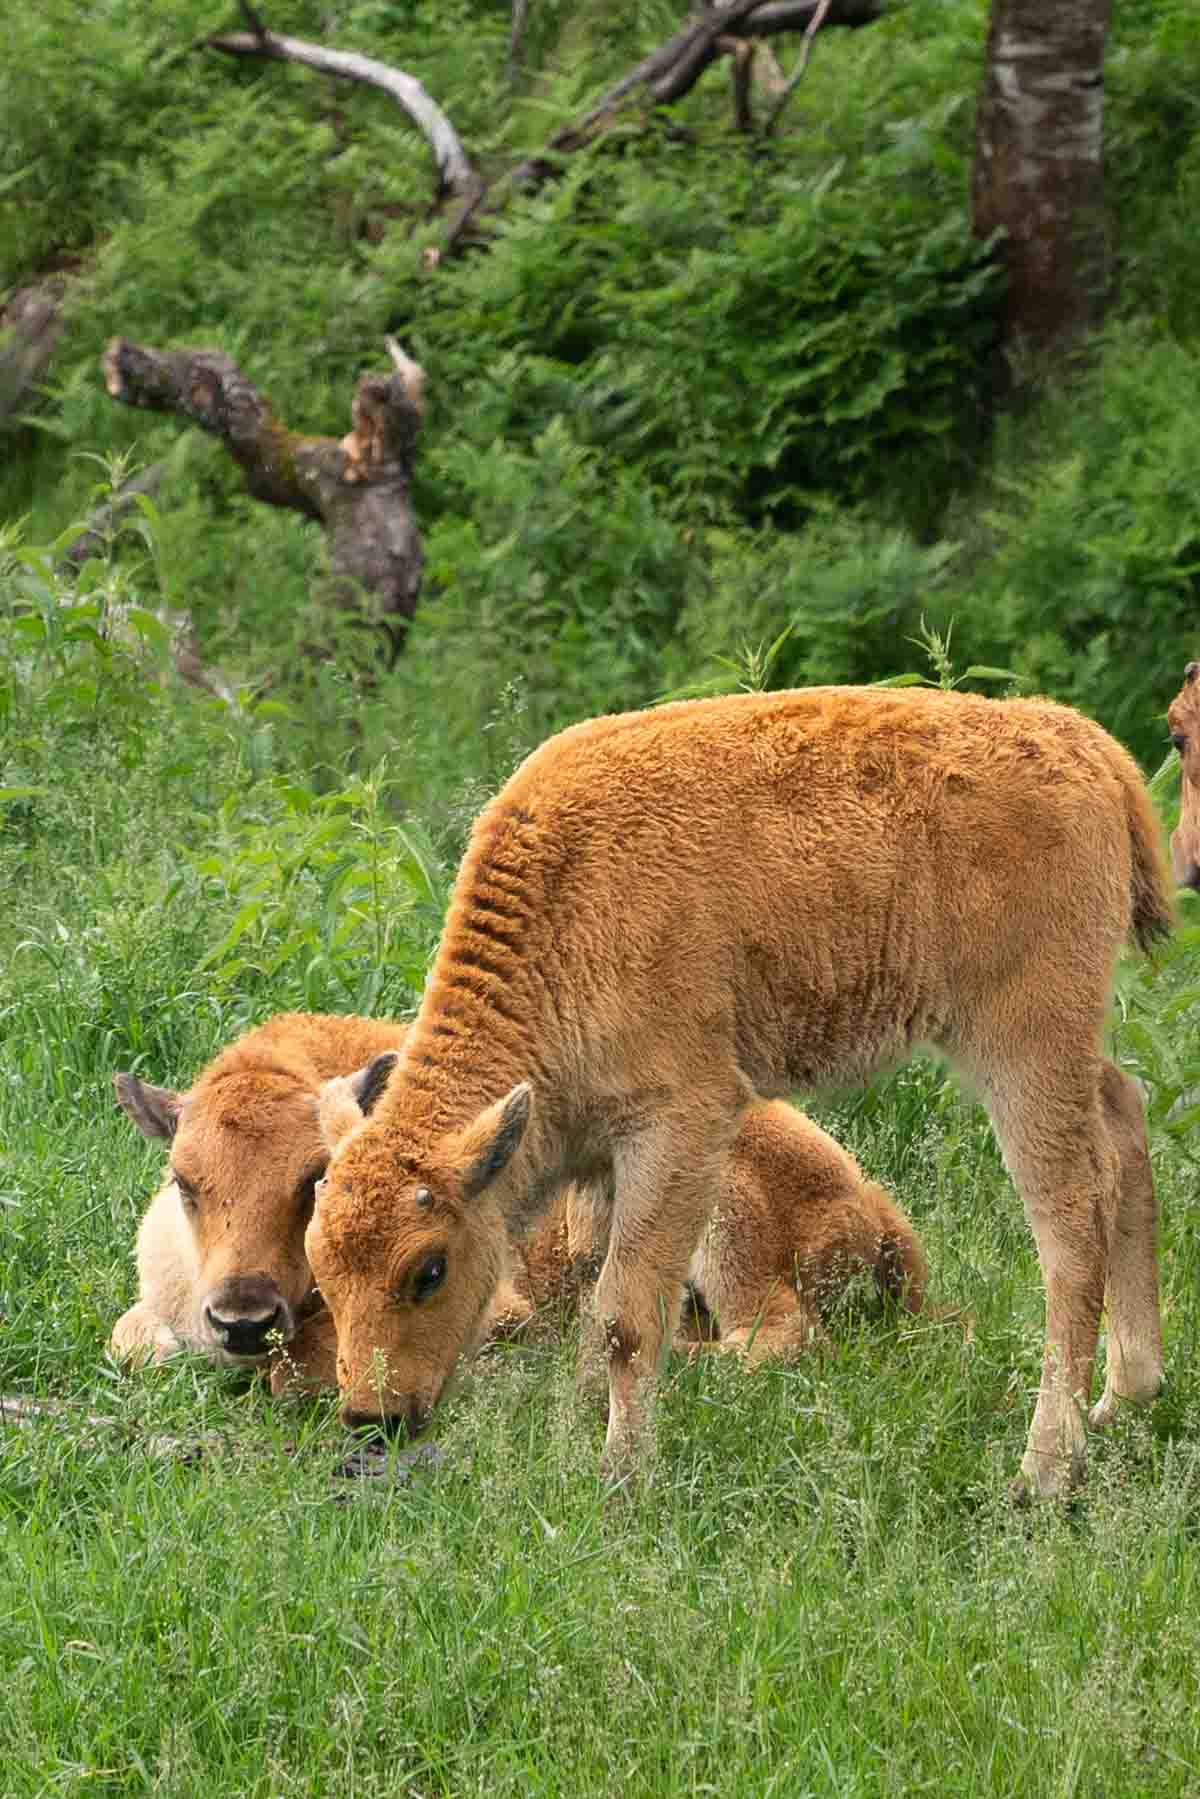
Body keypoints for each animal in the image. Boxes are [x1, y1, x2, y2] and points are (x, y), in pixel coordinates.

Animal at [111, 1011, 926, 1384]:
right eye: (185, 1179)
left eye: (314, 1179)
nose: (242, 1319)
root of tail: (868, 1199)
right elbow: (131, 1341)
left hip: (721, 1222)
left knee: (775, 1334)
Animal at [303, 684, 1172, 1502]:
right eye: (319, 1269)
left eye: (428, 1269)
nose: (371, 1416)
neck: (563, 906)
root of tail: (1085, 744)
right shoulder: (602, 1157)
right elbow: (593, 1301)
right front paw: (576, 1441)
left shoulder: (680, 1124)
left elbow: (624, 1314)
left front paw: (623, 1480)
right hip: (1055, 1044)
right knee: (1124, 1118)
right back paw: (1127, 1397)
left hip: (1021, 1044)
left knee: (1069, 1228)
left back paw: (1045, 1472)